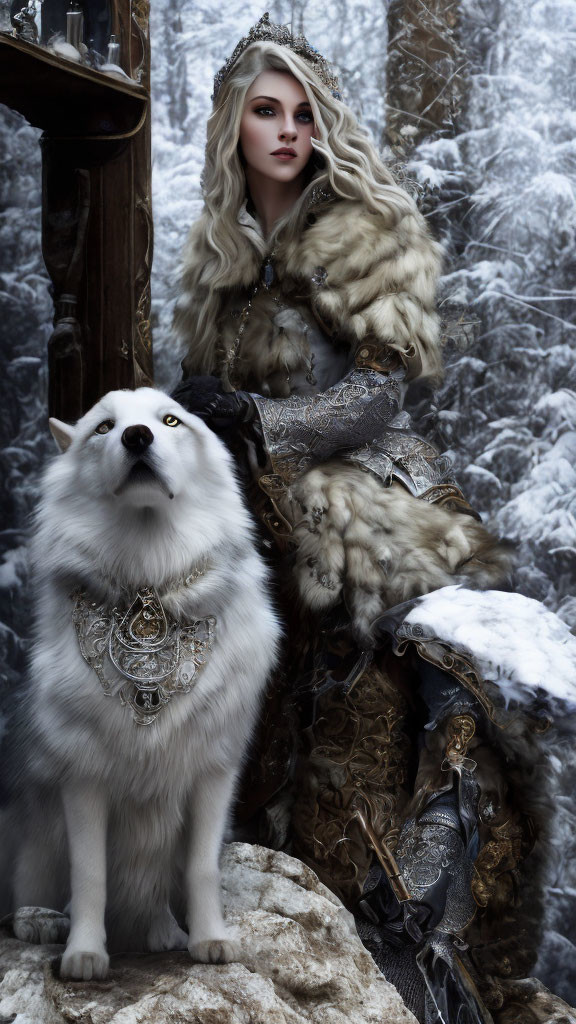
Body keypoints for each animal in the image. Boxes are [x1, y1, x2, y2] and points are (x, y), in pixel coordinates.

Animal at [6, 387, 278, 978]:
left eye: (170, 420)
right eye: (104, 428)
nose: (136, 436)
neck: (149, 580)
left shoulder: (213, 775)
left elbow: (202, 870)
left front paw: (209, 941)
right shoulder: (83, 780)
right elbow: (90, 877)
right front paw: (84, 954)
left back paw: (162, 933)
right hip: (33, 845)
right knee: (26, 900)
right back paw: (42, 923)